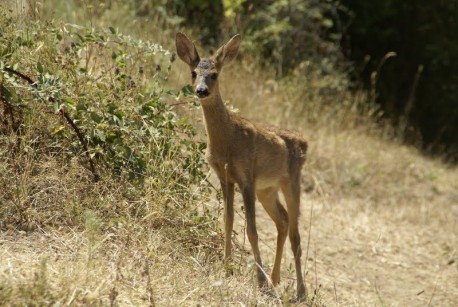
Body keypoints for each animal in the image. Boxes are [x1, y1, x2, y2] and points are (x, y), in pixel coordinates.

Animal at [175, 32, 308, 302]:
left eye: (215, 74)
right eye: (194, 72)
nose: (201, 90)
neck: (227, 141)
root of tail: (305, 142)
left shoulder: (246, 176)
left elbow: (252, 230)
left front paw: (259, 281)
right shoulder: (225, 176)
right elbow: (228, 221)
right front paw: (227, 267)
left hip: (291, 181)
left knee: (295, 234)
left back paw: (299, 292)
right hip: (267, 189)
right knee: (283, 221)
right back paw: (276, 279)